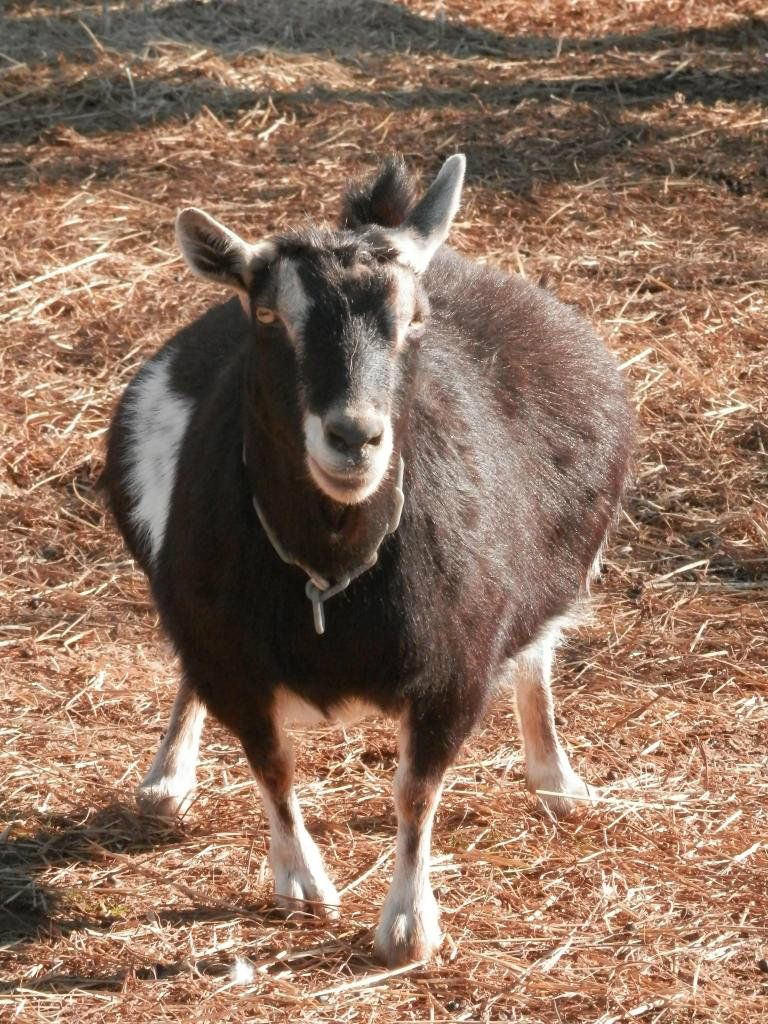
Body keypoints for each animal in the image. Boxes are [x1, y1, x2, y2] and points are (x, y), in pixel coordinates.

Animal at [103, 154, 633, 966]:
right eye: (268, 317)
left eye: (414, 321)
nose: (354, 437)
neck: (331, 565)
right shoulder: (229, 652)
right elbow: (272, 762)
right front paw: (302, 882)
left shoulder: (454, 663)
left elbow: (415, 788)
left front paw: (408, 925)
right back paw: (167, 779)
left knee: (535, 659)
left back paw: (556, 781)